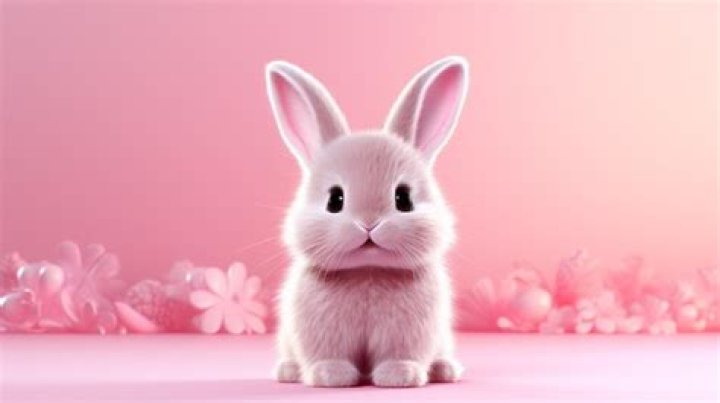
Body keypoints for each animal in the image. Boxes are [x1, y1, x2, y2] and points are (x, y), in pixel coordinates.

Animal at [265, 56, 469, 388]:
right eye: (335, 200)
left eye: (404, 198)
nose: (369, 225)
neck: (368, 270)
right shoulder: (319, 331)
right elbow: (328, 355)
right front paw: (330, 375)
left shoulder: (409, 334)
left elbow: (400, 354)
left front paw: (400, 375)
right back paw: (289, 372)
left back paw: (444, 370)